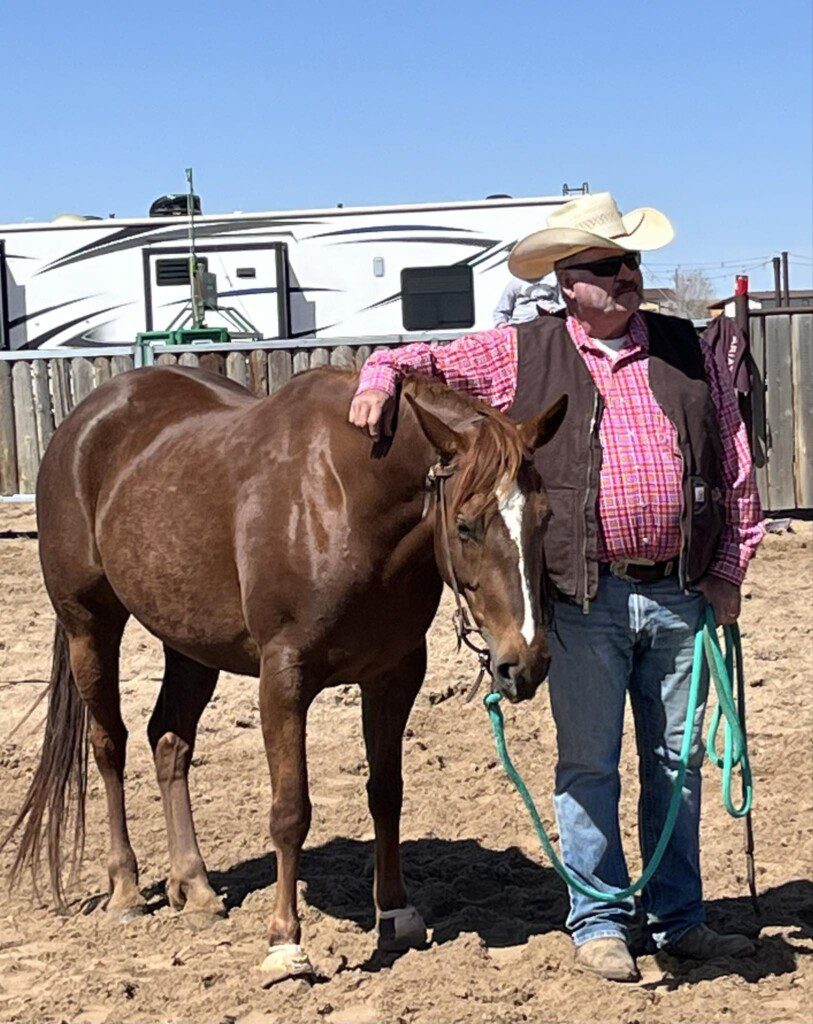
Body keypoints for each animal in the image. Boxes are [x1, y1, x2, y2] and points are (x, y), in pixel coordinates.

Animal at [2, 363, 566, 983]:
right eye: (465, 526)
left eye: (545, 518)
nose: (526, 663)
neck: (345, 500)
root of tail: (80, 424)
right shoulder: (284, 678)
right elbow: (290, 811)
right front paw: (285, 943)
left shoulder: (394, 675)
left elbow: (386, 793)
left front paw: (395, 914)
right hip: (89, 626)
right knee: (110, 745)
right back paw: (125, 889)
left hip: (191, 644)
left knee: (169, 743)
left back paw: (195, 888)